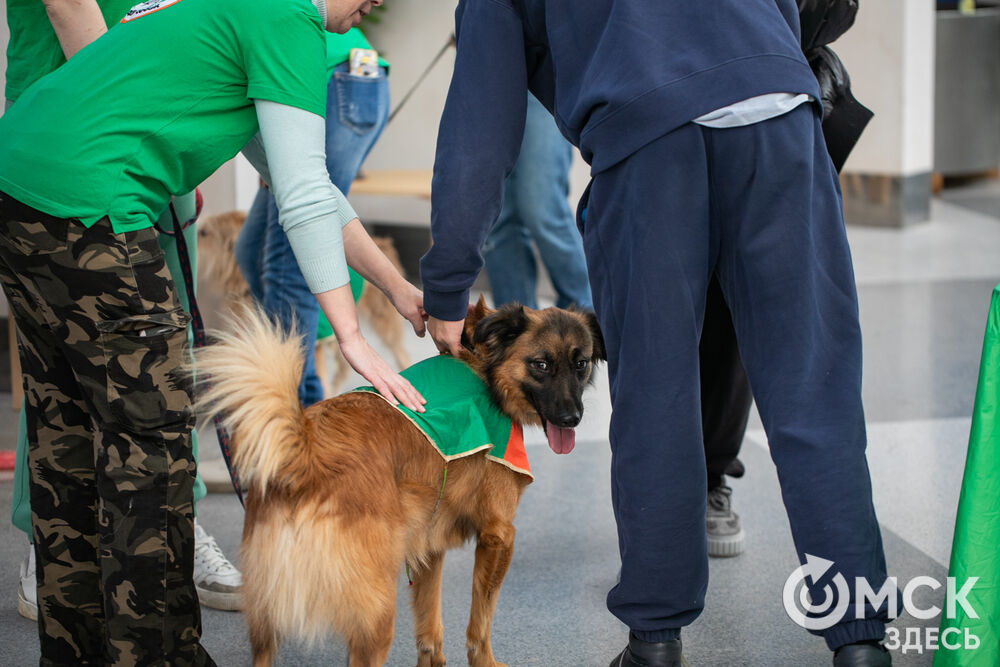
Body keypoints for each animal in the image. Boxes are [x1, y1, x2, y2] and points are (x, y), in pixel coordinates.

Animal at [193, 298, 600, 667]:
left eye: (581, 364)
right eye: (541, 364)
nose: (573, 419)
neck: (483, 362)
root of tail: (305, 452)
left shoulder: (428, 545)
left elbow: (430, 628)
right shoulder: (498, 537)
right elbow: (479, 627)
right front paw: (485, 660)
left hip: (266, 620)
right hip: (375, 616)